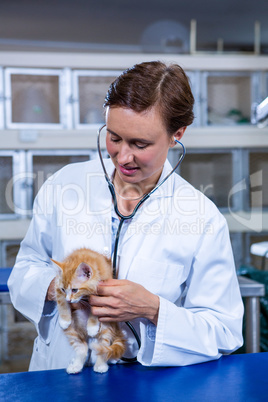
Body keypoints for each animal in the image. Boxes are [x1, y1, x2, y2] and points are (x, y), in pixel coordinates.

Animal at [51, 247, 126, 376]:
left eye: (74, 290)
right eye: (63, 289)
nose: (69, 300)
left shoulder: (102, 291)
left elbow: (95, 310)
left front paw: (92, 326)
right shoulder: (57, 286)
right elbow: (61, 302)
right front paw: (64, 319)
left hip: (106, 327)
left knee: (102, 347)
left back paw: (100, 365)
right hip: (72, 330)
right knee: (83, 347)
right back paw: (76, 366)